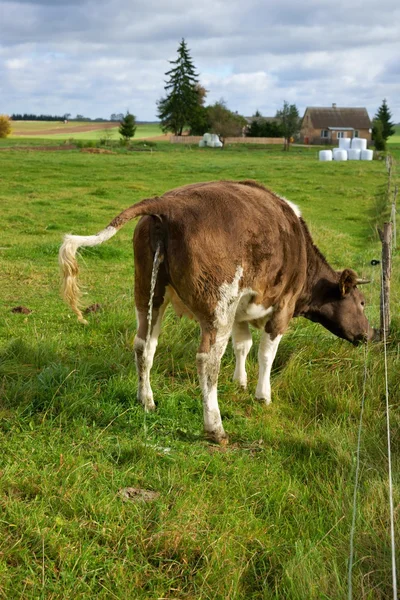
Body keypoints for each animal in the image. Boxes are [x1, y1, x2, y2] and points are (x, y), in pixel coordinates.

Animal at [59, 180, 376, 442]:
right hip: (217, 306)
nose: (371, 333)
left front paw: (240, 383)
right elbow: (266, 354)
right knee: (207, 359)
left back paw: (146, 400)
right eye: (362, 302)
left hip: (148, 291)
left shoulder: (240, 309)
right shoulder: (282, 306)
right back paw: (215, 427)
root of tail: (167, 203)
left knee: (144, 345)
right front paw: (263, 395)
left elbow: (243, 346)